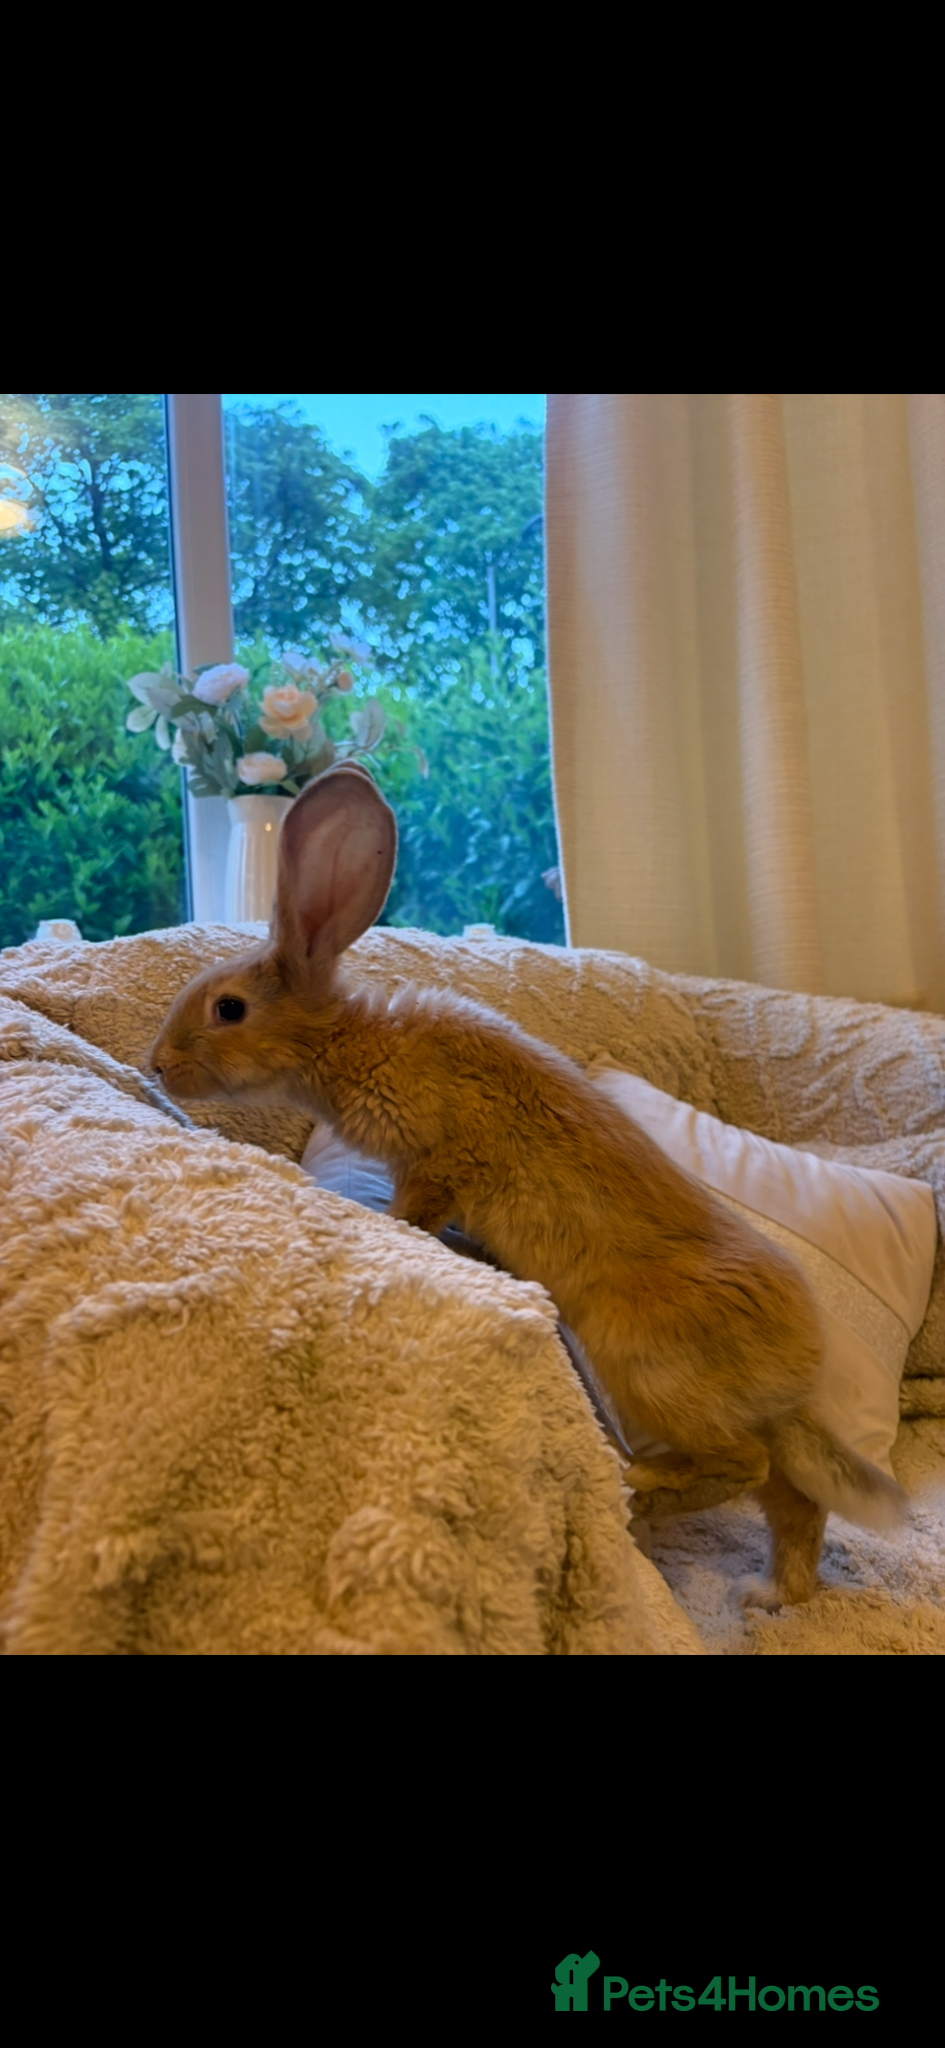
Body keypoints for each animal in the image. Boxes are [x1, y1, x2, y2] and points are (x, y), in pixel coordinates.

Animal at [149, 765, 906, 1609]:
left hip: (644, 1365)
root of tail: (794, 1381)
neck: (346, 1042)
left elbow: (419, 1207)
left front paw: (399, 1227)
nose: (157, 1066)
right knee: (790, 1498)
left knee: (742, 1467)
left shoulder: (442, 1160)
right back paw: (771, 1595)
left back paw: (644, 1482)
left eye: (229, 1009)